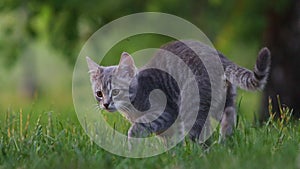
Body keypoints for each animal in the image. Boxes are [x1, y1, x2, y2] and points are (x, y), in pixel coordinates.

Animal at [85, 40, 270, 142]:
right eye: (99, 94)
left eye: (116, 91)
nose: (106, 104)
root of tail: (219, 55)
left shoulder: (166, 112)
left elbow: (135, 129)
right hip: (223, 102)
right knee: (229, 119)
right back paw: (225, 144)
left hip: (191, 104)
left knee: (201, 135)